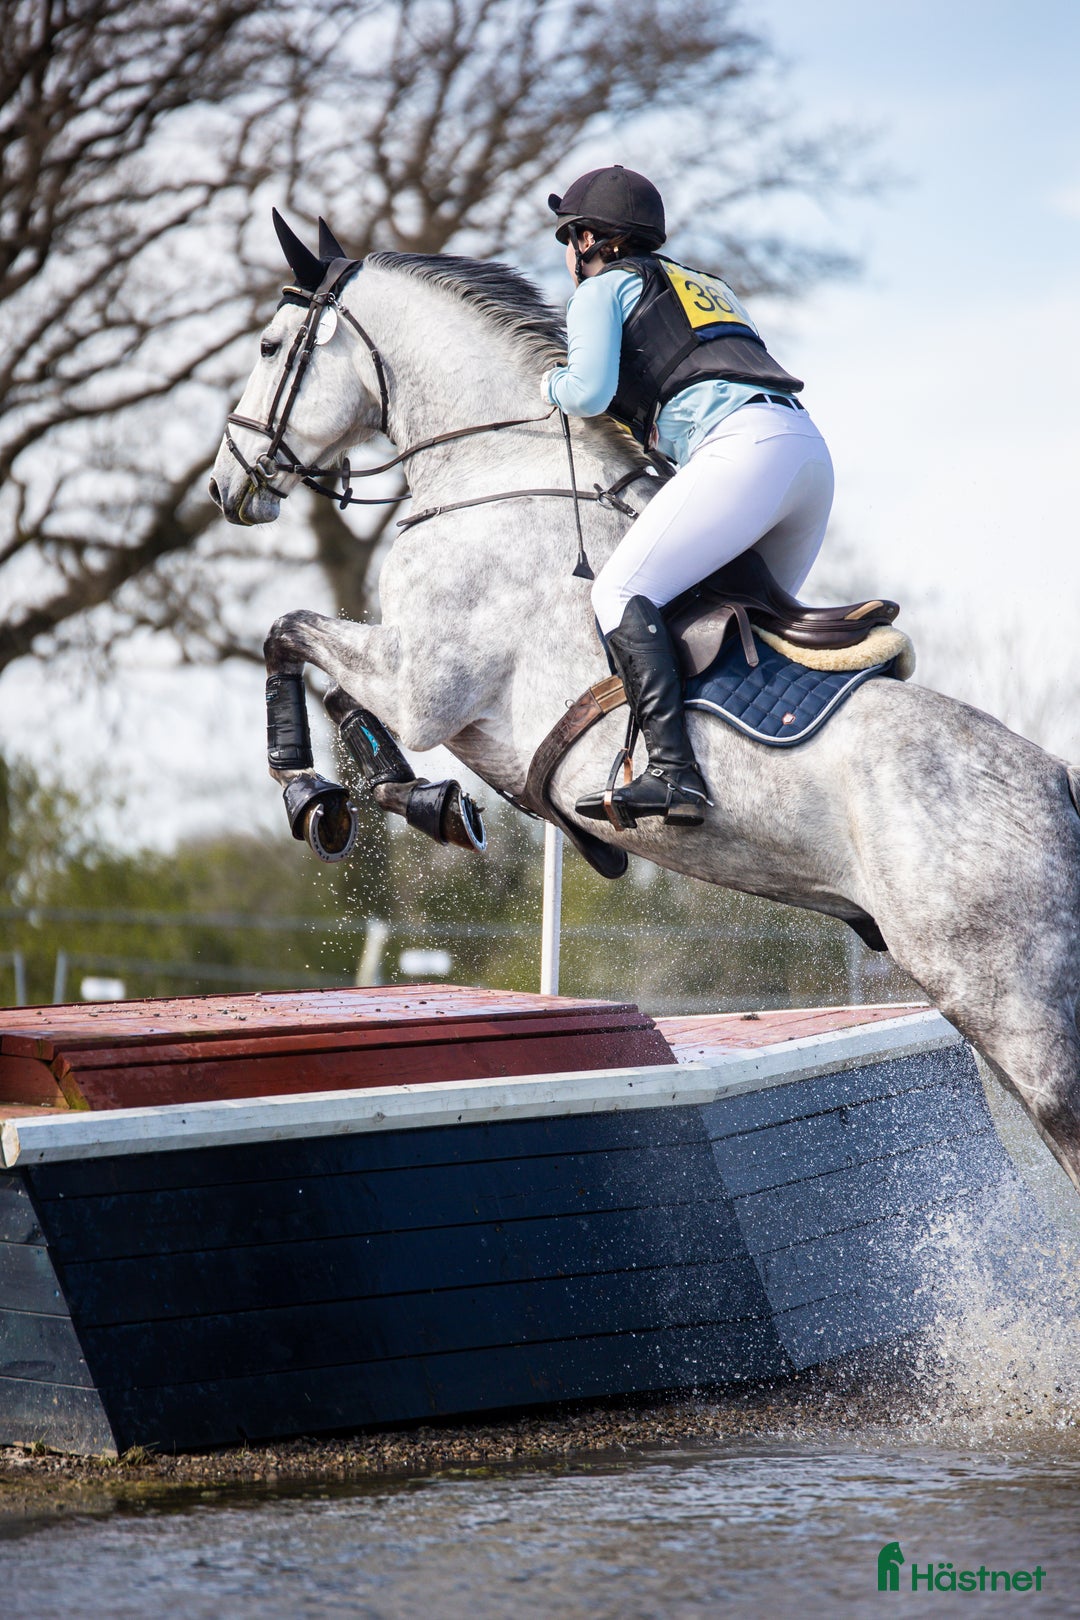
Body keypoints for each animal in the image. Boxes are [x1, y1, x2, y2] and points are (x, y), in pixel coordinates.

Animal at [210, 216, 1080, 1196]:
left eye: (269, 346)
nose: (225, 484)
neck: (492, 469)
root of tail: (1058, 784)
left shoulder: (422, 680)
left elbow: (287, 636)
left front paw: (310, 794)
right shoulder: (413, 679)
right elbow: (326, 678)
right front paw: (425, 802)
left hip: (1011, 1003)